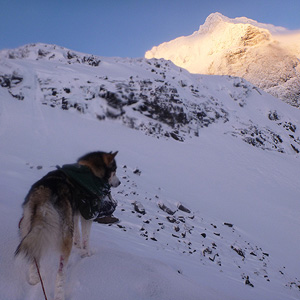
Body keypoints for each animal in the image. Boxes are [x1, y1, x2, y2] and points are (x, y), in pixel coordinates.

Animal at [15, 152, 120, 300]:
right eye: (114, 170)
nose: (119, 182)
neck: (88, 170)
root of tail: (44, 192)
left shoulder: (74, 213)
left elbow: (77, 233)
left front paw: (78, 245)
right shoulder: (88, 214)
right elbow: (86, 237)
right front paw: (86, 254)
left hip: (28, 229)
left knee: (34, 255)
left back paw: (34, 279)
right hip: (64, 239)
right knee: (61, 271)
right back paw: (59, 294)